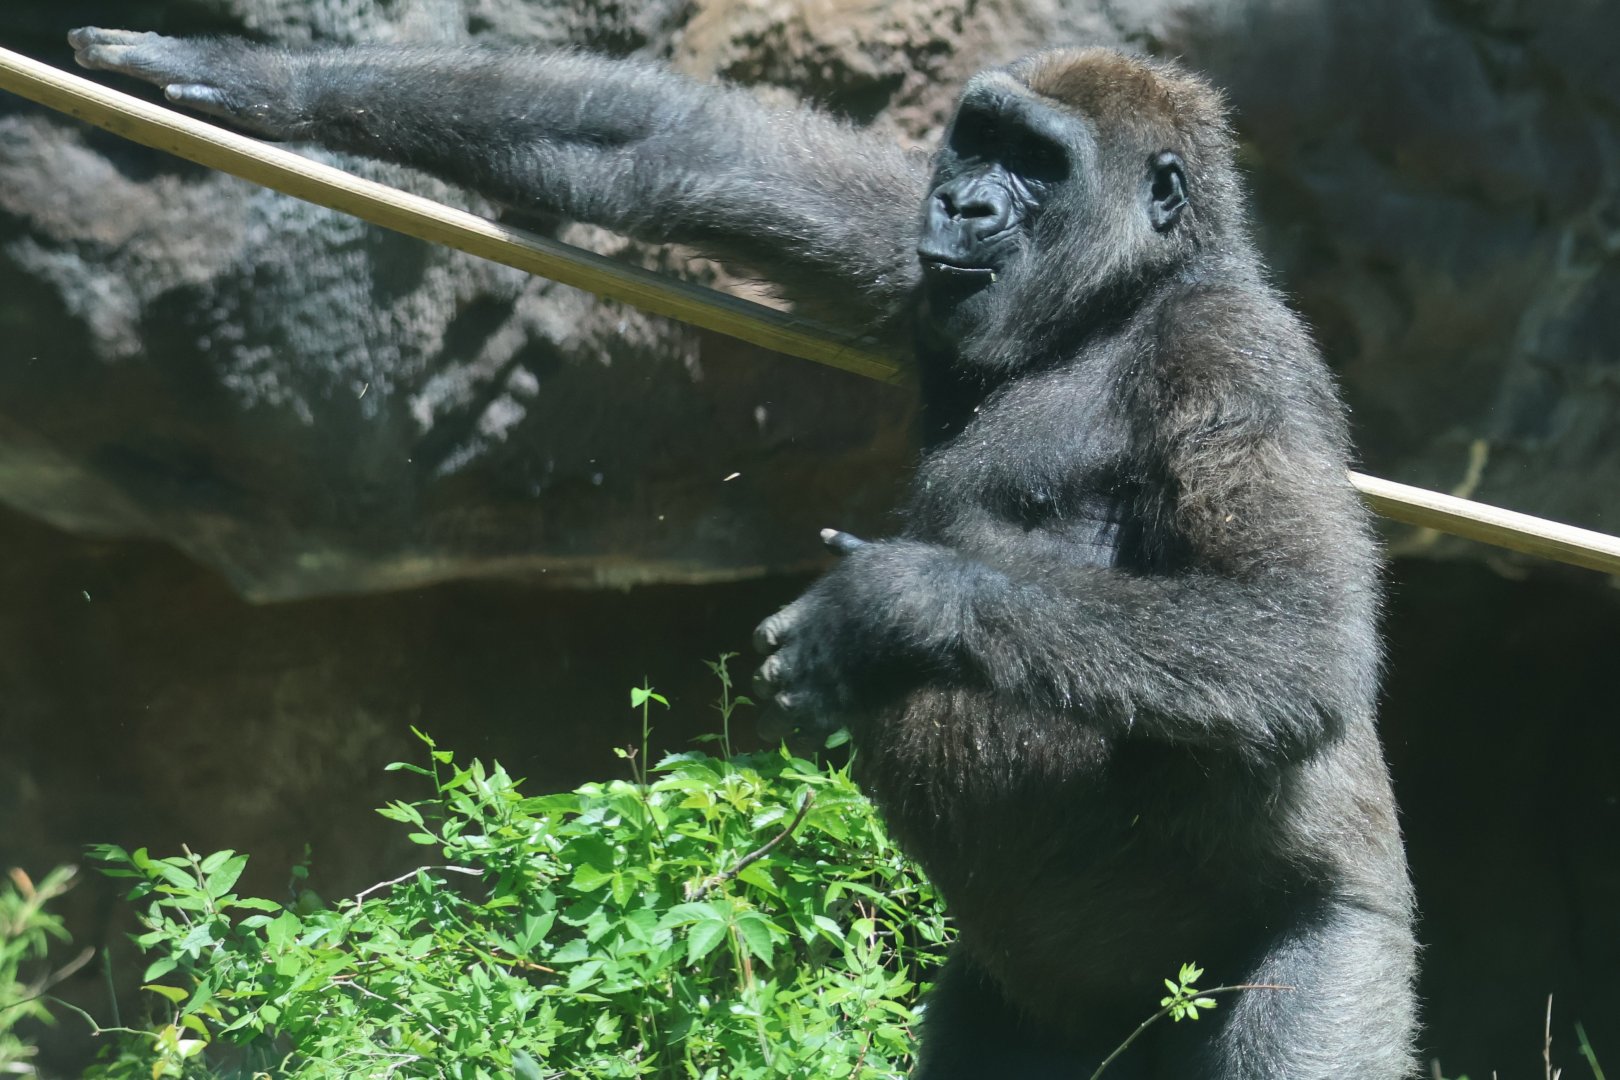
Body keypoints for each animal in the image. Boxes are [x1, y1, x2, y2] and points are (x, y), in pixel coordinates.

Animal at [69, 28, 1418, 1078]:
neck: (1114, 303)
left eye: (1041, 166)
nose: (966, 204)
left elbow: (1294, 636)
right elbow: (674, 148)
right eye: (979, 144)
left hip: (1337, 952)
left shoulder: (1236, 358)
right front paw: (258, 78)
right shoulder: (903, 243)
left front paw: (888, 603)